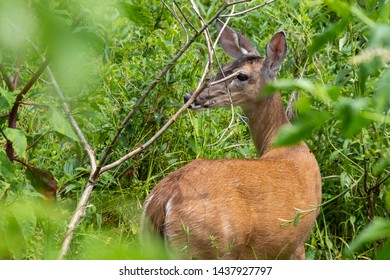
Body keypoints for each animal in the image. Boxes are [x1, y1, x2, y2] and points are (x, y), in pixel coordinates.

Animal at [141, 19, 322, 260]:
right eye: (223, 69)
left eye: (241, 75)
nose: (190, 96)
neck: (286, 144)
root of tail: (163, 198)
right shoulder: (297, 244)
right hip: (206, 247)